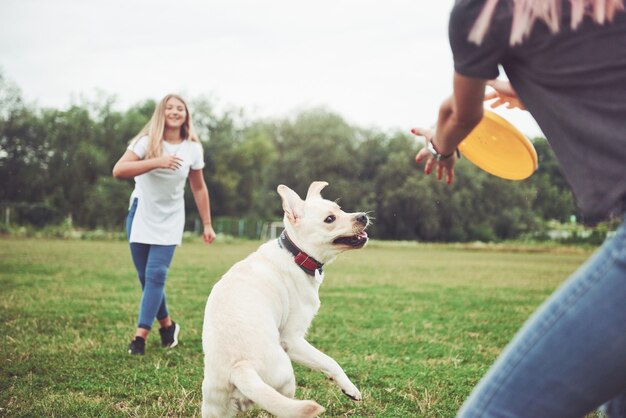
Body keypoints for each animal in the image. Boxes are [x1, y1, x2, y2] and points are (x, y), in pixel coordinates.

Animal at [201, 182, 366, 418]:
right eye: (330, 219)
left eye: (340, 208)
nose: (363, 216)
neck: (297, 254)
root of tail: (240, 368)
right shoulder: (293, 339)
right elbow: (330, 362)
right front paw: (350, 388)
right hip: (287, 378)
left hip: (214, 406)